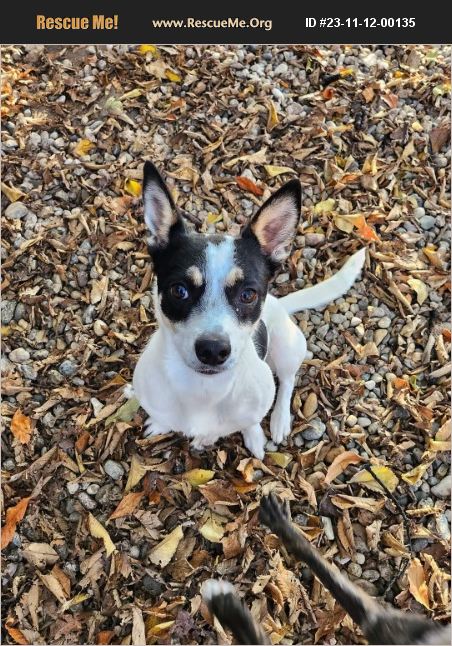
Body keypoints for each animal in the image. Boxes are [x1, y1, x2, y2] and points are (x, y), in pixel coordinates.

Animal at [131, 161, 366, 458]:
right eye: (179, 290)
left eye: (248, 294)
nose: (213, 350)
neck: (203, 391)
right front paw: (161, 425)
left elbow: (248, 421)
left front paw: (248, 437)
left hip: (288, 348)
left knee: (287, 381)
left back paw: (279, 420)